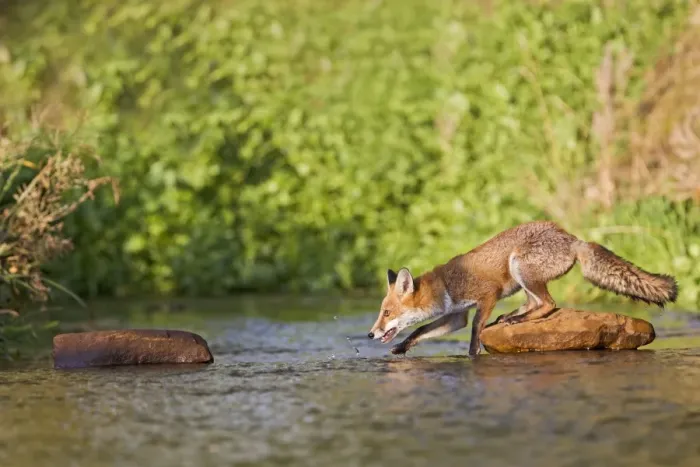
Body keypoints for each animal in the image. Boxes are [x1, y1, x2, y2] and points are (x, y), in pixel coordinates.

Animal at [367, 220, 678, 356]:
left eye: (386, 313)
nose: (370, 334)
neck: (446, 285)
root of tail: (572, 238)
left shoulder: (487, 295)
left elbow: (475, 330)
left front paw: (473, 355)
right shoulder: (456, 315)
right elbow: (420, 330)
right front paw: (402, 347)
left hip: (519, 265)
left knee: (548, 304)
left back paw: (516, 319)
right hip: (521, 278)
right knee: (536, 303)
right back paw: (511, 317)